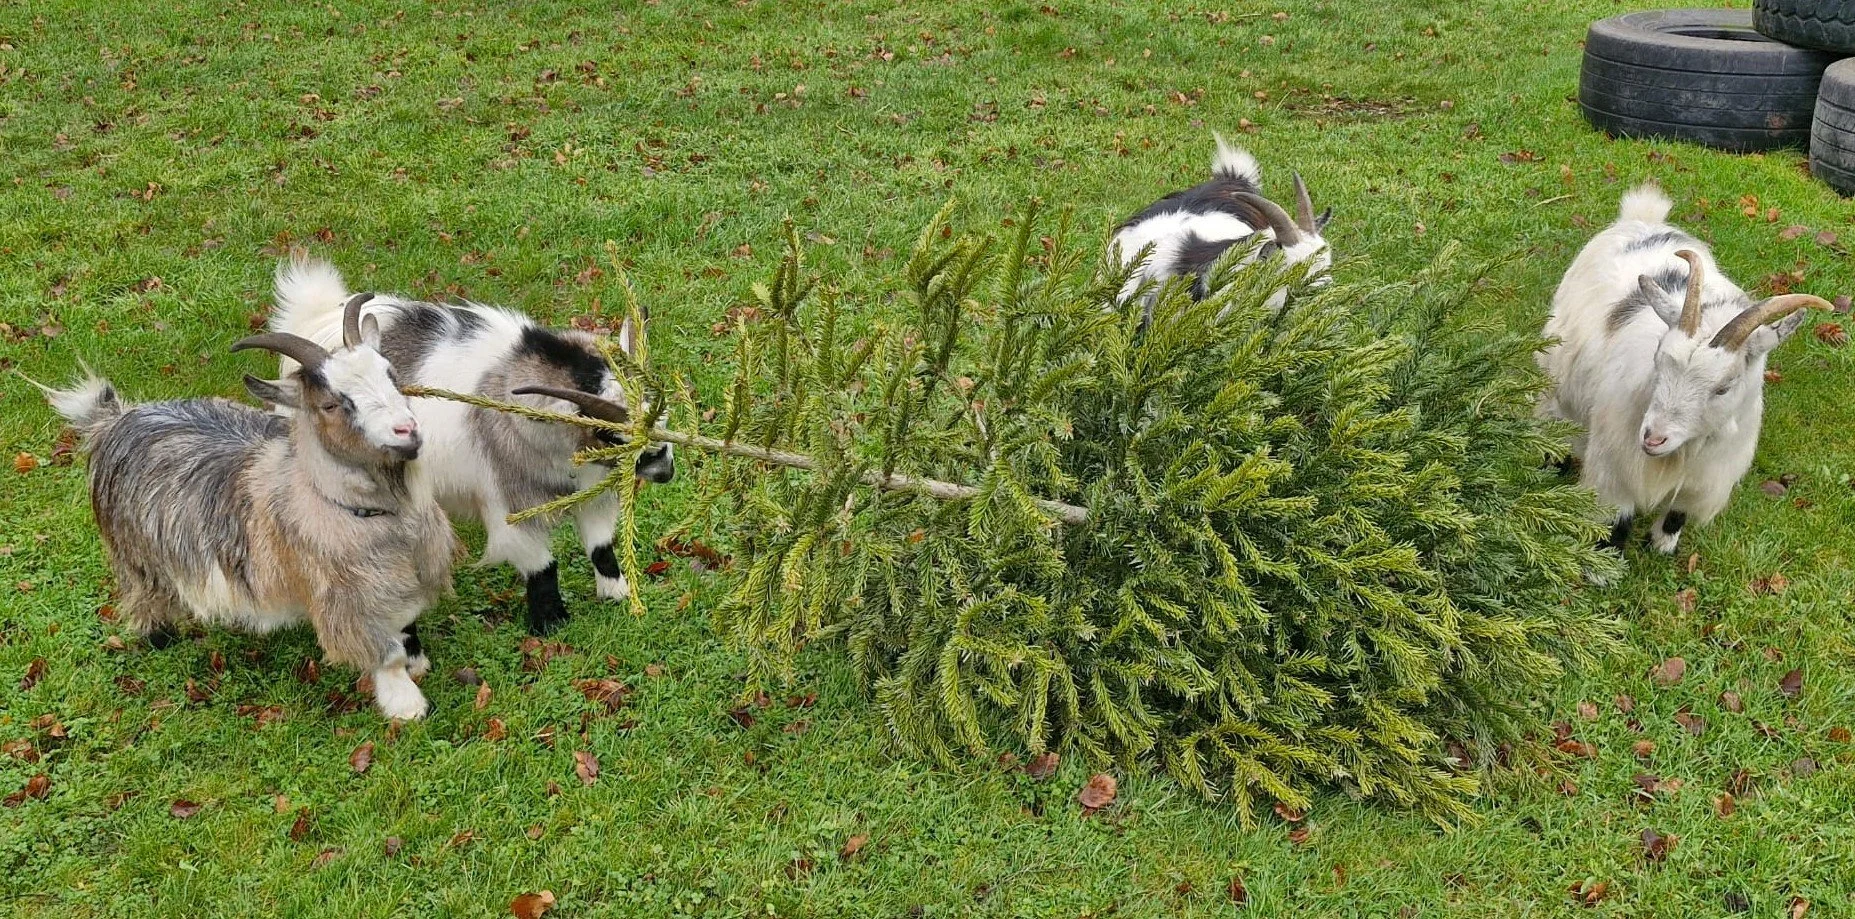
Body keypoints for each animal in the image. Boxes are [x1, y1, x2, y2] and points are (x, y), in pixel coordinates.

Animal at [34, 297, 454, 720]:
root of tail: (115, 420)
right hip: (137, 556)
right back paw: (161, 639)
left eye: (392, 375)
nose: (406, 431)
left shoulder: (408, 574)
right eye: (331, 403)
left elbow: (407, 622)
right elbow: (384, 652)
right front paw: (407, 705)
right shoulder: (349, 598)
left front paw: (417, 662)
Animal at [268, 257, 674, 636]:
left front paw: (618, 597)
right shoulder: (510, 506)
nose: (666, 469)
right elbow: (542, 566)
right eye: (610, 434)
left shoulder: (594, 493)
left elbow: (601, 547)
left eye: (660, 411)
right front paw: (550, 624)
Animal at [1538, 184, 1831, 555]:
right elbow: (1615, 519)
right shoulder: (1615, 465)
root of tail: (1642, 219)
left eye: (1724, 387)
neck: (1679, 454)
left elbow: (1678, 511)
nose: (1653, 438)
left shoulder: (1707, 477)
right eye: (1658, 361)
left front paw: (1663, 545)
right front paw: (1607, 561)